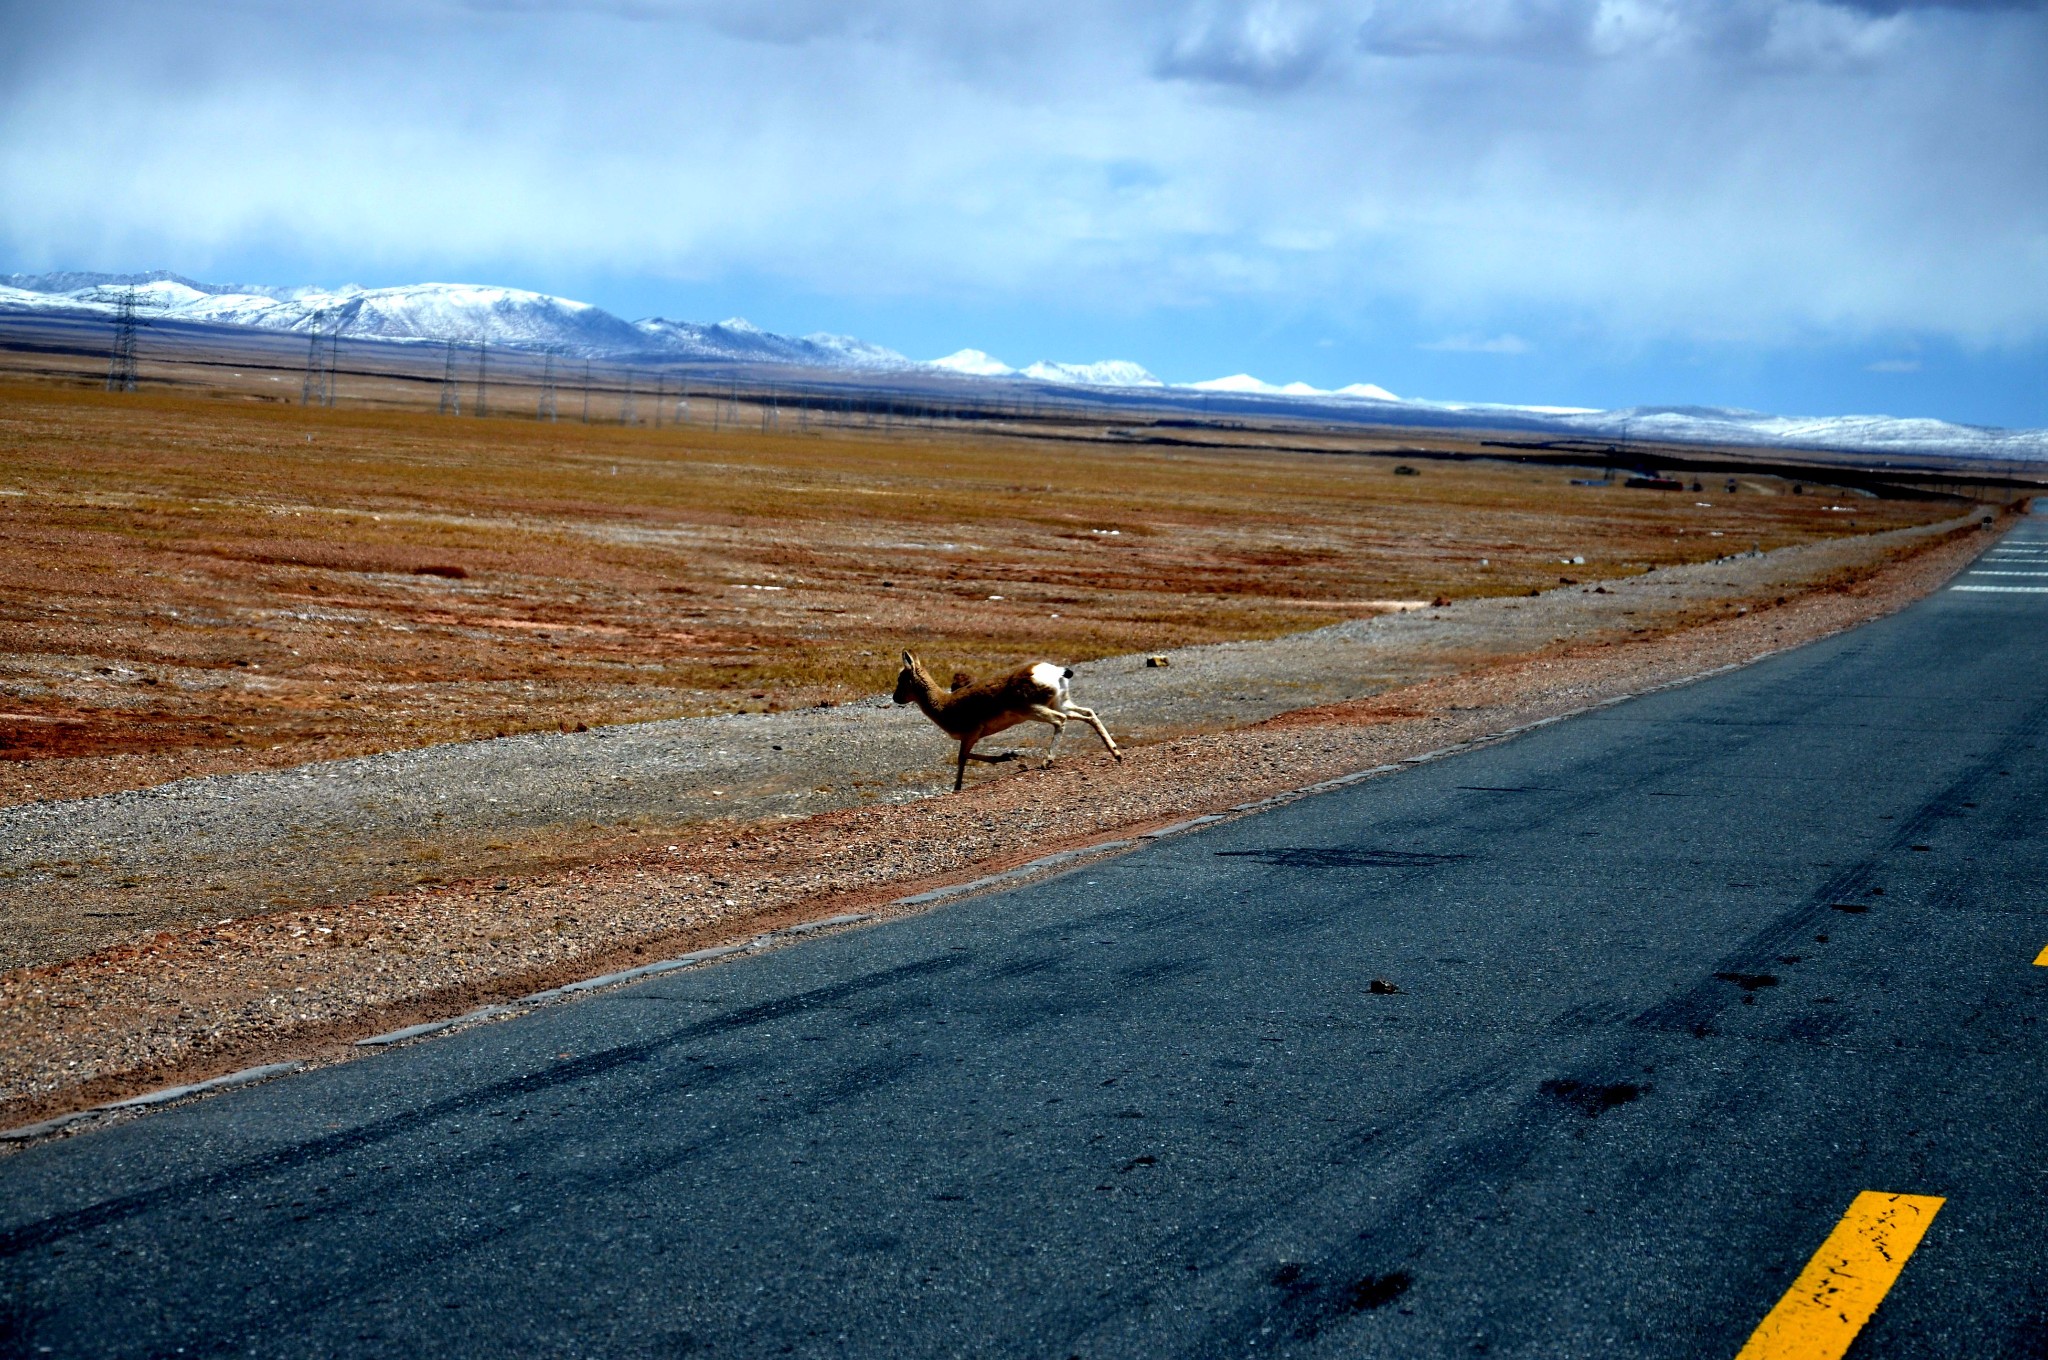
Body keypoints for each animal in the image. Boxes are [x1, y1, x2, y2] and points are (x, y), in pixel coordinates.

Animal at [897, 655, 1122, 790]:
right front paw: (1009, 756)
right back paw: (1116, 754)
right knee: (1089, 714)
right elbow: (965, 757)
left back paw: (1047, 761)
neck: (945, 704)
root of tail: (1055, 671)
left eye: (901, 678)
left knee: (1061, 720)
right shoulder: (971, 736)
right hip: (1061, 703)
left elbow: (963, 757)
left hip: (1034, 710)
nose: (895, 698)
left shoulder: (971, 734)